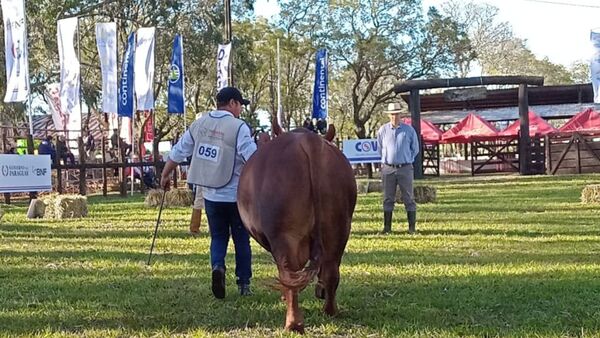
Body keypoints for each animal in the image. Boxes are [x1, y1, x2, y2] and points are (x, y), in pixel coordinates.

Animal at [236, 125, 356, 332]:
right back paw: (330, 310)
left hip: (285, 236)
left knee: (288, 274)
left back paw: (293, 323)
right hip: (339, 230)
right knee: (331, 270)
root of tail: (309, 141)